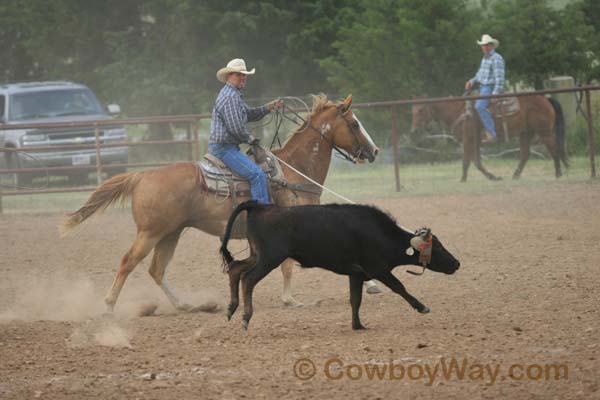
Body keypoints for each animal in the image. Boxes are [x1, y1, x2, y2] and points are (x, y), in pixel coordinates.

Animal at [59, 94, 380, 312]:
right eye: (354, 123)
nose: (375, 151)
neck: (293, 171)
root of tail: (142, 175)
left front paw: (372, 283)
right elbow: (290, 265)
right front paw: (291, 299)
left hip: (171, 233)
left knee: (156, 269)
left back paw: (186, 305)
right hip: (151, 232)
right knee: (128, 262)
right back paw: (108, 305)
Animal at [410, 94, 568, 181]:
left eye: (421, 110)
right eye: (413, 110)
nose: (414, 130)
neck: (461, 113)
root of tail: (546, 99)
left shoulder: (468, 140)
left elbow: (466, 162)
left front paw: (462, 180)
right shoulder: (476, 142)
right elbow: (477, 162)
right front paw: (494, 177)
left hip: (544, 132)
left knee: (554, 150)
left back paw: (558, 174)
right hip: (525, 133)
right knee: (525, 155)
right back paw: (515, 176)